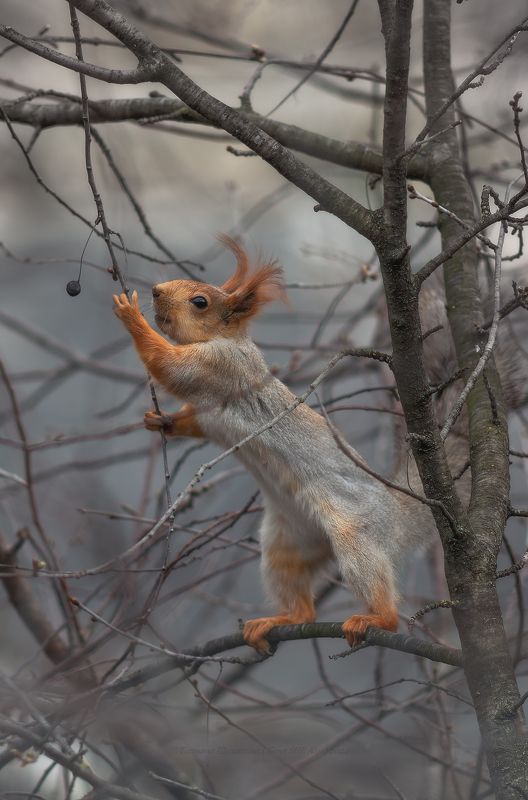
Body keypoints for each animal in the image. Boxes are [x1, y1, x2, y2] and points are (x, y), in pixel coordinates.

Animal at [113, 236, 520, 653]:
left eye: (200, 302)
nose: (156, 291)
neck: (225, 339)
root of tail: (396, 512)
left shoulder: (219, 368)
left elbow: (170, 366)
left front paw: (131, 315)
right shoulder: (209, 412)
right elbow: (193, 420)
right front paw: (160, 421)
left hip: (355, 537)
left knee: (377, 592)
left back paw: (375, 619)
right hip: (288, 545)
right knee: (302, 605)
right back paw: (281, 619)